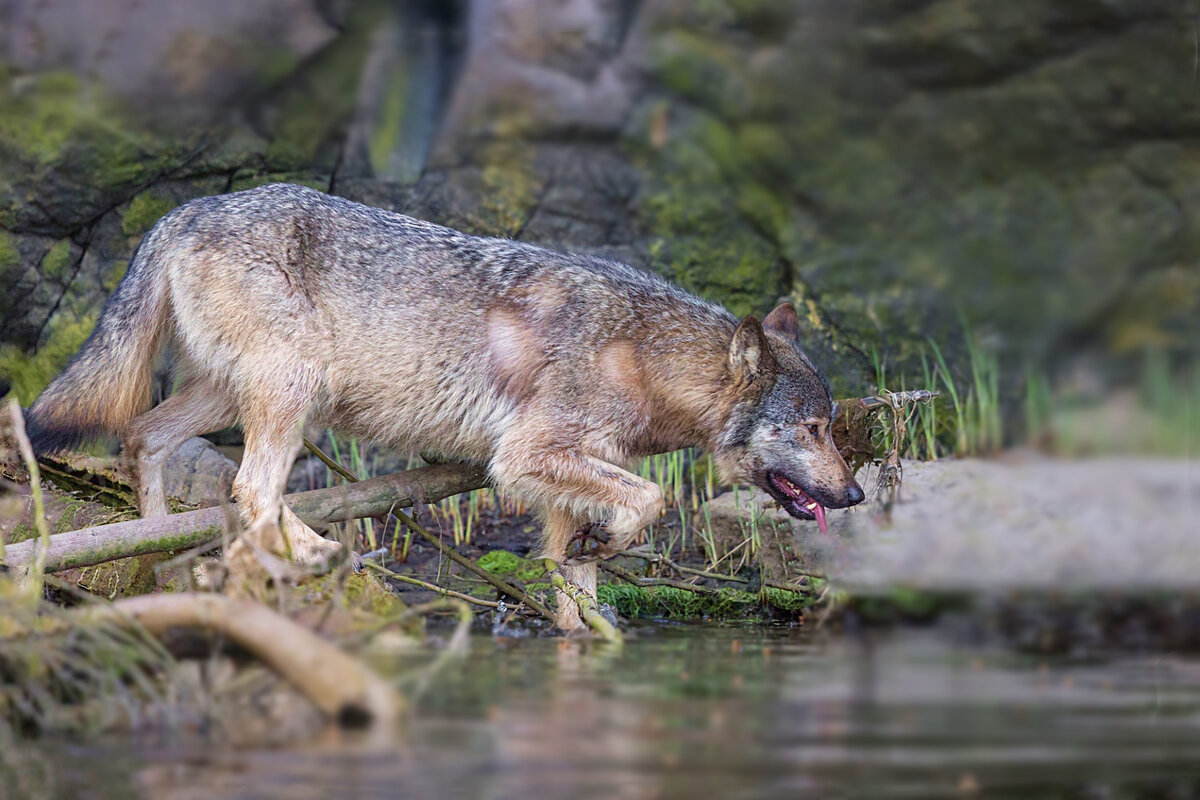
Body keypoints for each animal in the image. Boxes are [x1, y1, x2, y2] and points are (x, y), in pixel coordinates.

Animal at [25, 181, 864, 633]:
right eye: (814, 429)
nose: (855, 493)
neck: (641, 353)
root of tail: (187, 208)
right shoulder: (523, 459)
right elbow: (653, 500)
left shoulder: (560, 488)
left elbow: (575, 583)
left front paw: (593, 637)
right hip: (291, 396)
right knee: (251, 490)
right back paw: (318, 551)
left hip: (227, 396)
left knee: (144, 437)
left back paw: (150, 554)